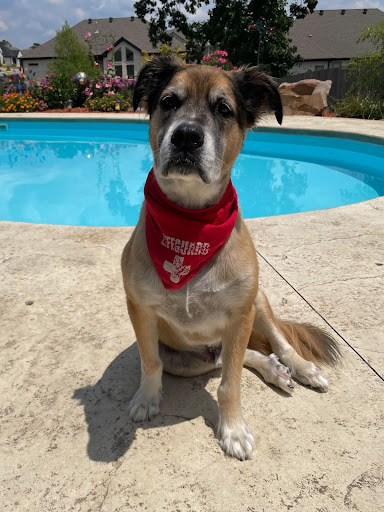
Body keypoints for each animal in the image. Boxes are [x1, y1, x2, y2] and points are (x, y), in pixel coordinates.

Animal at [121, 56, 340, 460]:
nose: (187, 136)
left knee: (272, 346)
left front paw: (233, 429)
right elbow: (150, 361)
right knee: (226, 359)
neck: (191, 226)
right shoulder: (139, 309)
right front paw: (146, 398)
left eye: (223, 109)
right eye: (169, 101)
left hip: (259, 300)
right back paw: (273, 370)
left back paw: (298, 368)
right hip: (186, 360)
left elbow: (230, 384)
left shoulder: (241, 313)